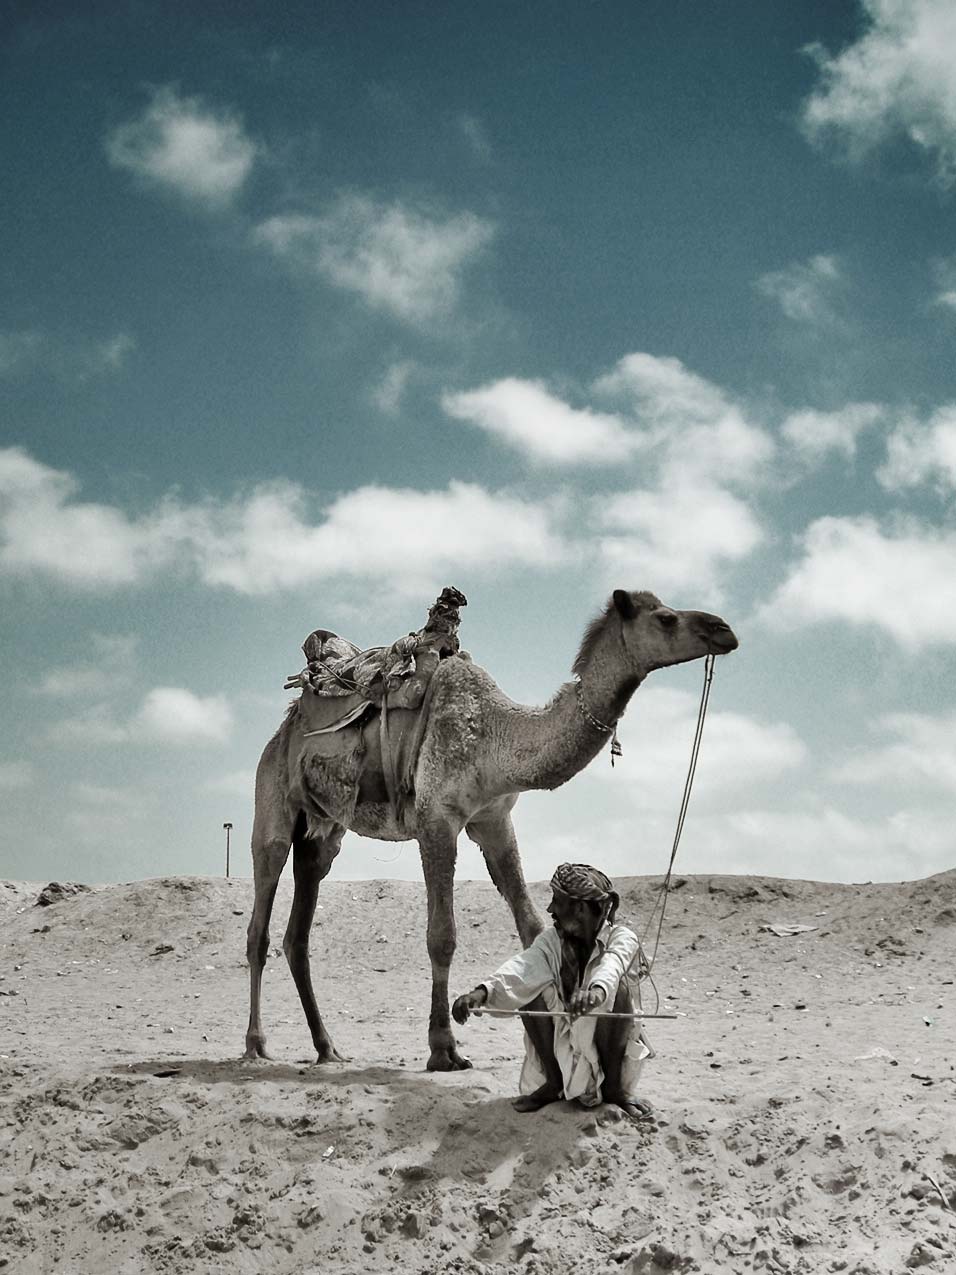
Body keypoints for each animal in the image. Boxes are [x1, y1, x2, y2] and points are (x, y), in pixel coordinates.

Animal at [247, 591, 739, 1071]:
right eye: (665, 618)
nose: (724, 630)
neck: (493, 735)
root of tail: (288, 721)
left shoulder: (494, 820)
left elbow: (532, 927)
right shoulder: (436, 821)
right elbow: (442, 936)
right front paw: (443, 1049)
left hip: (322, 832)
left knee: (298, 932)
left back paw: (327, 1048)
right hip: (272, 801)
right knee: (262, 918)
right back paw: (255, 1045)